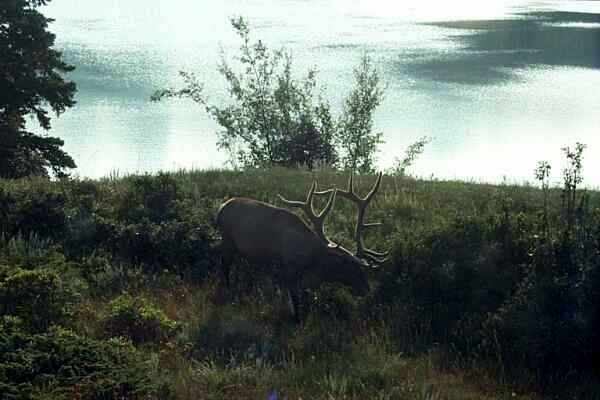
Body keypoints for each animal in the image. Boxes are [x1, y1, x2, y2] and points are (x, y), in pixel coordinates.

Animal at [216, 172, 390, 318]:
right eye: (350, 266)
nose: (367, 289)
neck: (313, 259)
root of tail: (220, 209)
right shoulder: (289, 270)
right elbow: (296, 304)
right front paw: (297, 321)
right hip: (227, 240)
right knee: (224, 265)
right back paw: (228, 291)